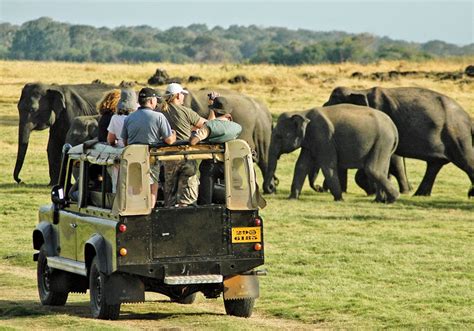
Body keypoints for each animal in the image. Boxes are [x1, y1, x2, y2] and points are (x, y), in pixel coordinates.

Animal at [262, 104, 400, 202]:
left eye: (279, 137)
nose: (272, 187)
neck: (303, 113)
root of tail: (394, 128)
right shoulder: (310, 141)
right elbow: (301, 166)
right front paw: (292, 198)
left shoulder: (324, 137)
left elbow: (328, 166)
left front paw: (339, 199)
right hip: (385, 145)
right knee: (382, 170)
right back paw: (379, 200)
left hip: (382, 141)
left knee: (372, 169)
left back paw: (393, 198)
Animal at [322, 87, 474, 198]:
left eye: (332, 102)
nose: (321, 189)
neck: (361, 90)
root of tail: (468, 117)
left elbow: (392, 158)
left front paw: (374, 189)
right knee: (434, 165)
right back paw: (419, 195)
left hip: (457, 135)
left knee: (465, 161)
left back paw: (470, 194)